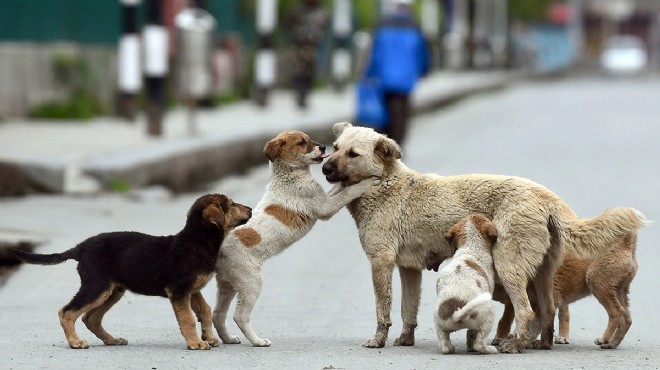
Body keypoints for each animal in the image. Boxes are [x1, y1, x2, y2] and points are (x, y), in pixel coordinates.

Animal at [16, 194, 253, 350]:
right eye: (232, 204)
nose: (250, 209)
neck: (197, 241)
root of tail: (81, 247)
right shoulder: (178, 291)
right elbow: (187, 319)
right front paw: (195, 343)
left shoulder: (191, 289)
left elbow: (204, 310)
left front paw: (209, 337)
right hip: (97, 286)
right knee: (67, 312)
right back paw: (75, 342)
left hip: (113, 290)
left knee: (91, 318)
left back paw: (112, 340)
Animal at [214, 129, 374, 346]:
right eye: (301, 143)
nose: (323, 147)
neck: (290, 175)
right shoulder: (325, 207)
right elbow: (346, 192)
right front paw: (366, 182)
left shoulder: (323, 197)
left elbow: (338, 189)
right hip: (251, 282)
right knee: (239, 316)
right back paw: (258, 341)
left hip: (227, 284)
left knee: (217, 315)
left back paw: (229, 339)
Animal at [436, 214, 498, 356]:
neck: (470, 247)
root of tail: (457, 314)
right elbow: (472, 334)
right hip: (488, 318)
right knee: (479, 344)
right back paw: (490, 349)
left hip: (439, 324)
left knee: (445, 346)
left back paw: (451, 348)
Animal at [496, 231, 640, 350]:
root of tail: (626, 243)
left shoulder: (546, 302)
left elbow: (538, 323)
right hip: (619, 291)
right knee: (627, 319)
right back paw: (612, 344)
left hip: (597, 283)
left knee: (616, 312)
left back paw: (603, 339)